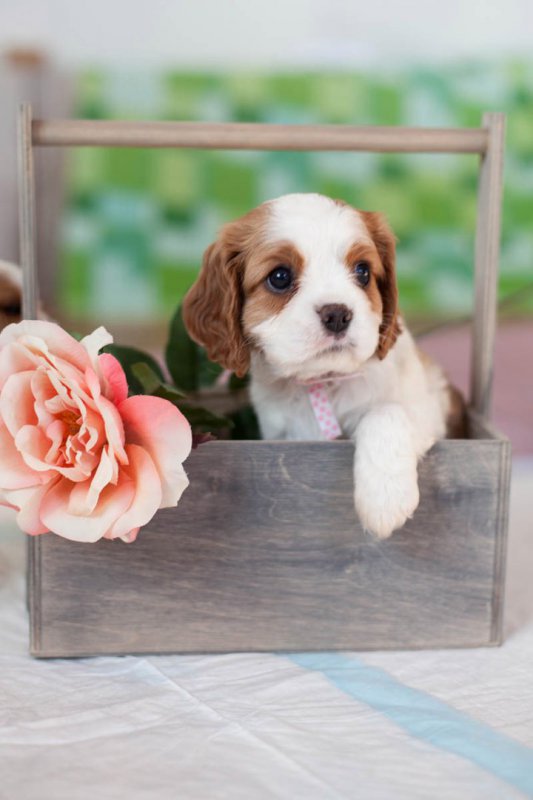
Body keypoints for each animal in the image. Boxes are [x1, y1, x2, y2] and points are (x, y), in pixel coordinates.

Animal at [183, 193, 465, 538]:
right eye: (280, 277)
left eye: (363, 271)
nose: (338, 315)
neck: (325, 382)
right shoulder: (283, 435)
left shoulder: (428, 407)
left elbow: (385, 411)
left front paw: (385, 499)